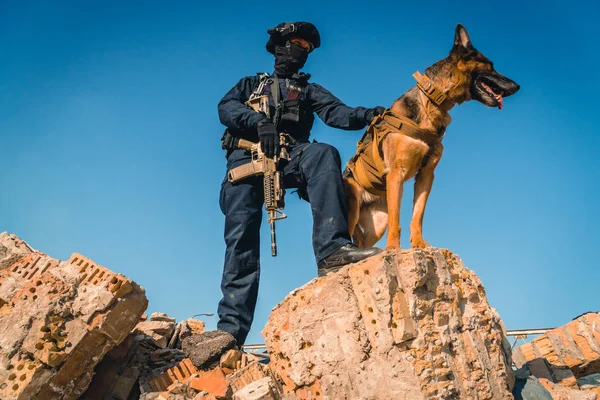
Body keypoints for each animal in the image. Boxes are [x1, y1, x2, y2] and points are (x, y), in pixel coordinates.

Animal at [346, 23, 520, 248]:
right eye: (490, 65)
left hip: (377, 225)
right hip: (351, 212)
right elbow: (397, 220)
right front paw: (393, 248)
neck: (431, 102)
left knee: (363, 241)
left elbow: (417, 215)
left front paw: (419, 243)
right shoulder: (396, 173)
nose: (517, 86)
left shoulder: (426, 175)